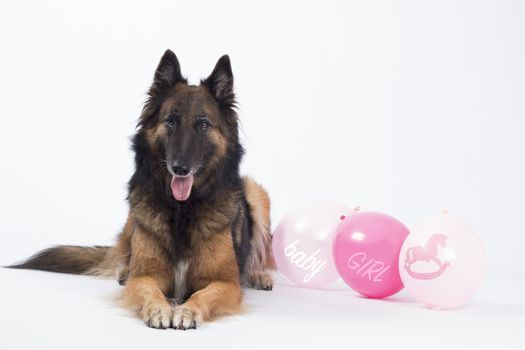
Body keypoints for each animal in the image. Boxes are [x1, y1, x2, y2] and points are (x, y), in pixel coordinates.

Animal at [10, 50, 276, 330]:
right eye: (170, 121)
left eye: (203, 124)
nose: (179, 168)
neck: (181, 209)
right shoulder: (145, 276)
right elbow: (148, 289)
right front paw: (159, 309)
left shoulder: (225, 283)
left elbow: (203, 295)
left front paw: (187, 310)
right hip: (134, 219)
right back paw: (124, 270)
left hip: (256, 193)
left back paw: (258, 274)